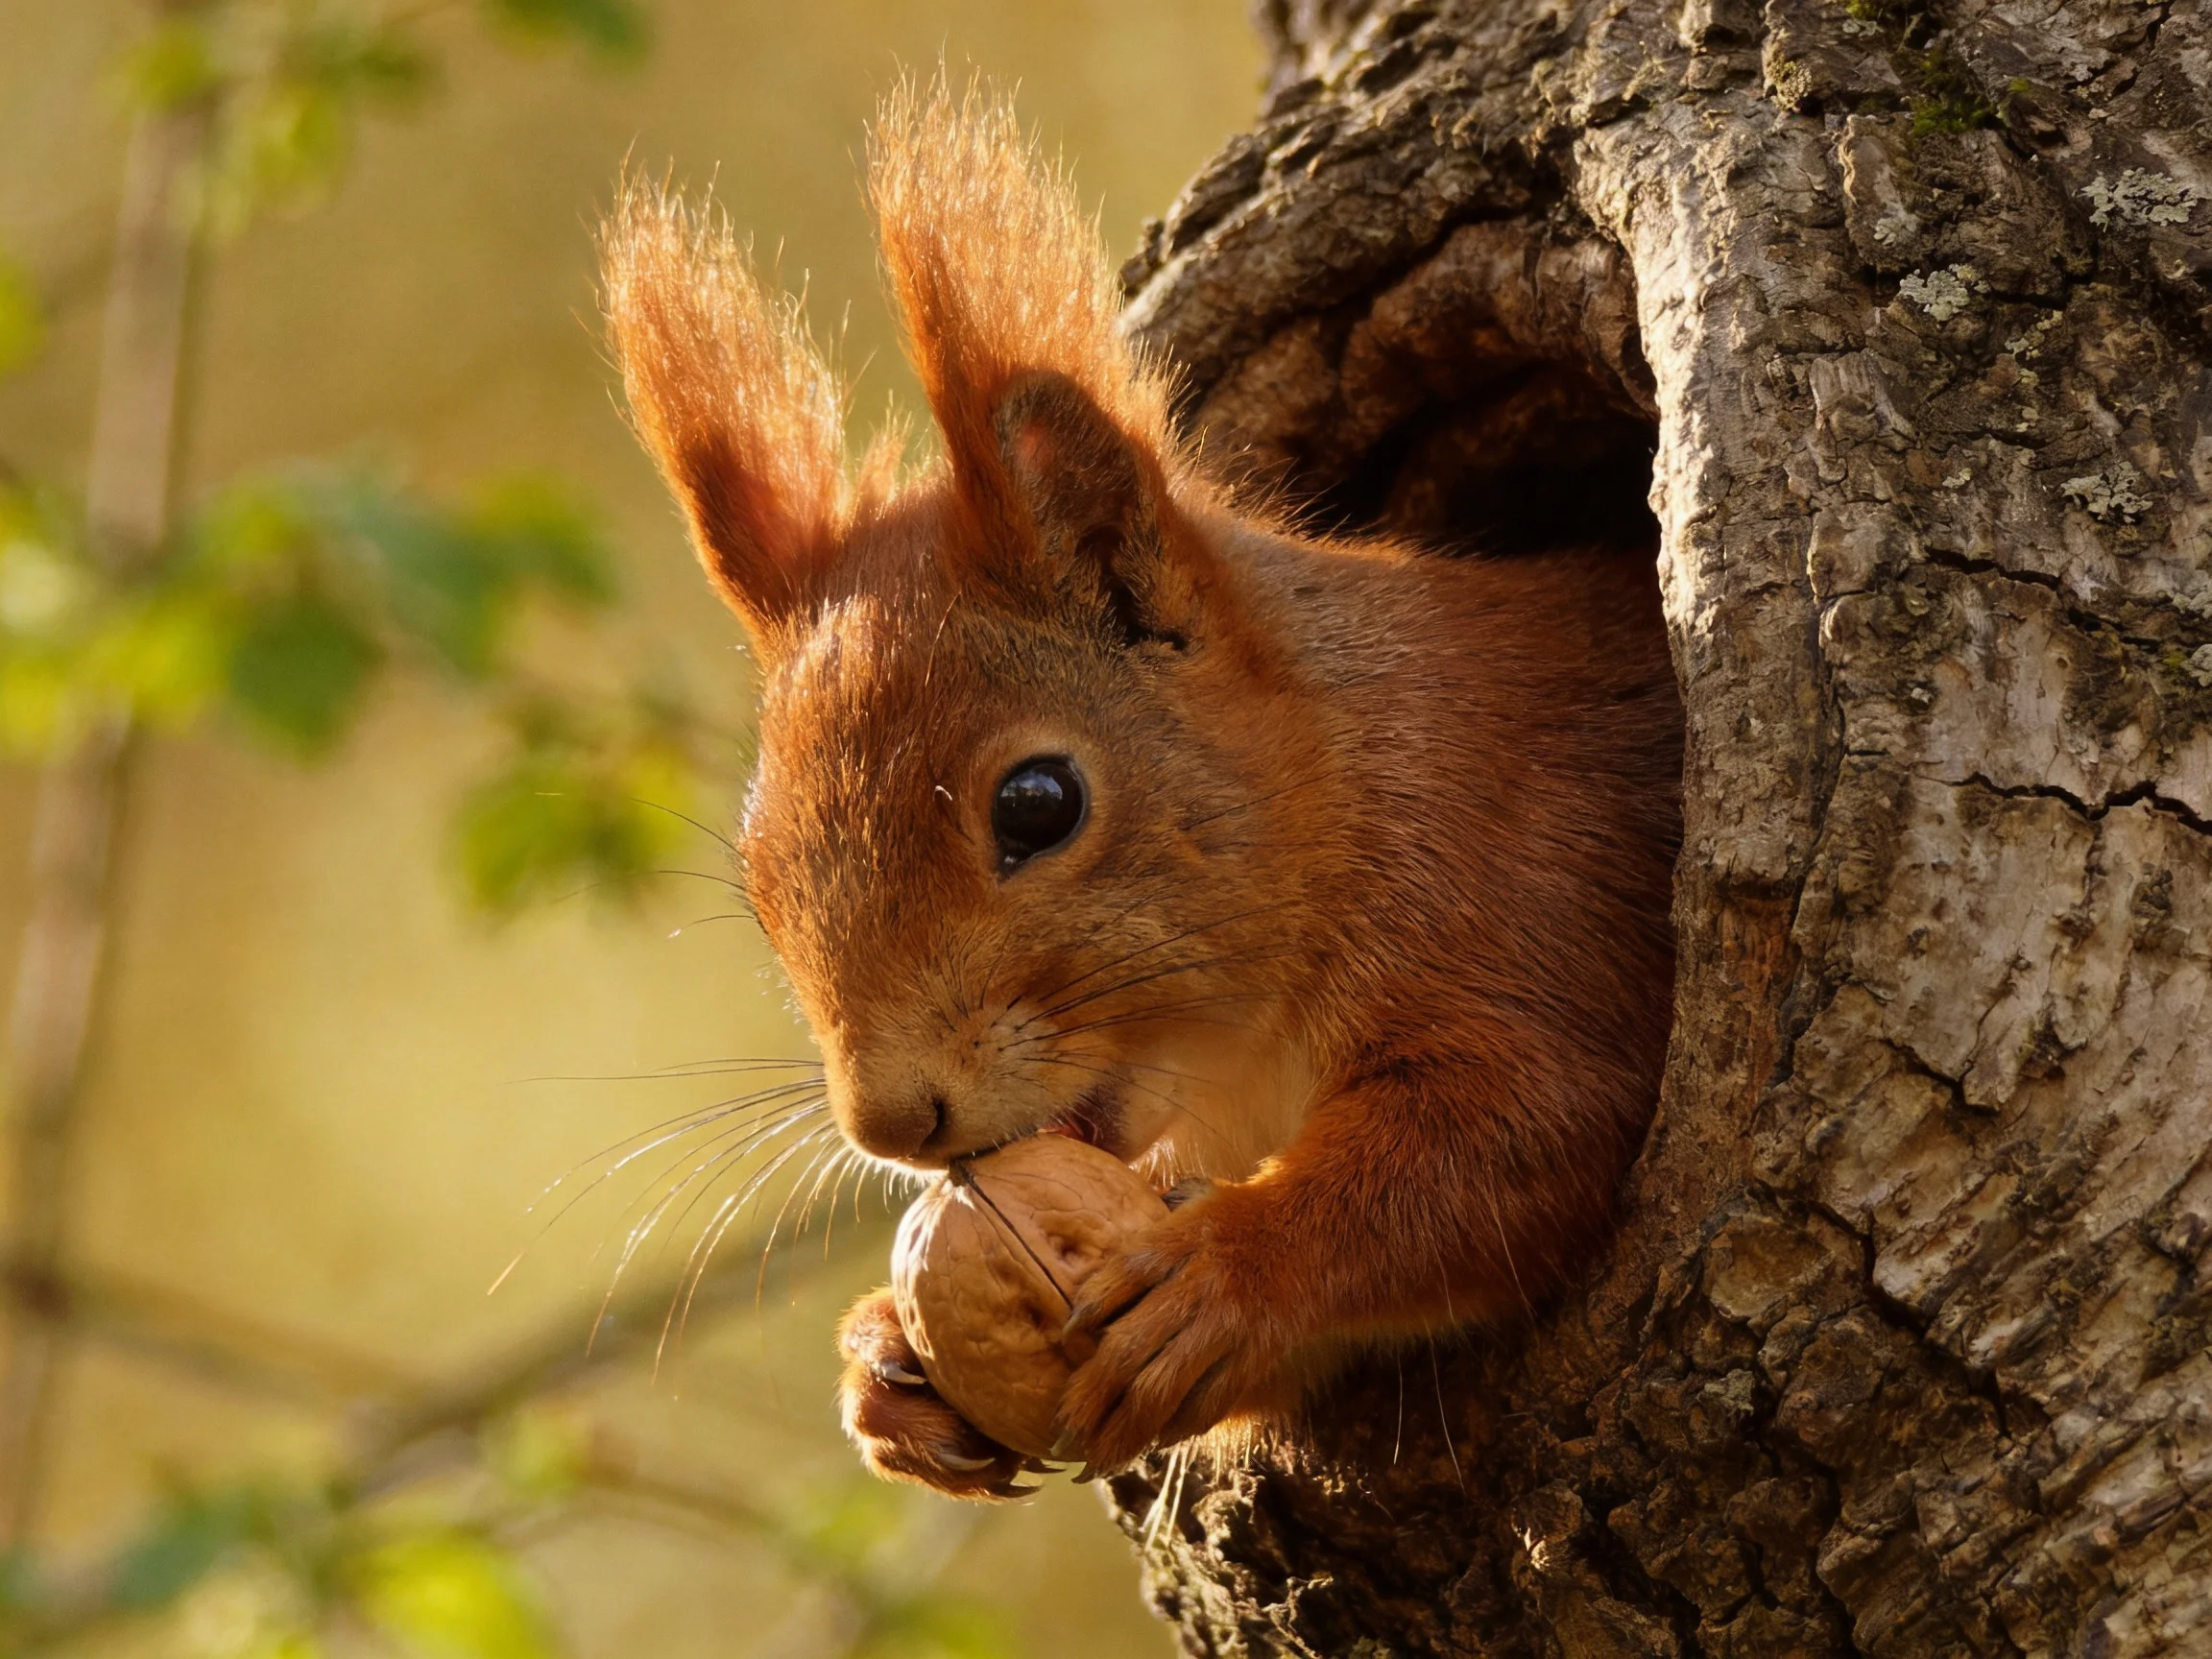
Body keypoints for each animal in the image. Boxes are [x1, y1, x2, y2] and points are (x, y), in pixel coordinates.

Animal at [599, 80, 1682, 1500]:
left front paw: (1226, 1273)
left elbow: (1513, 1133)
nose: (893, 1123)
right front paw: (885, 1361)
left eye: (1037, 804)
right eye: (758, 879)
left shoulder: (1539, 891)